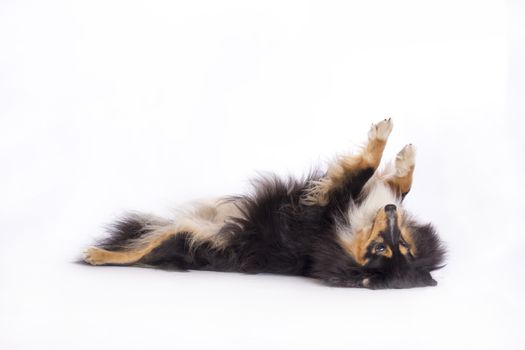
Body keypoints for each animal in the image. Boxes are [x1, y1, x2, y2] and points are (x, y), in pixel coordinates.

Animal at [84, 119, 444, 288]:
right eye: (399, 245)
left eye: (386, 248)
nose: (390, 212)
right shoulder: (349, 200)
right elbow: (394, 180)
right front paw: (404, 158)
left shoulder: (320, 208)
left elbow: (365, 168)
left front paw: (382, 142)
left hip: (186, 236)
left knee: (136, 252)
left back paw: (97, 255)